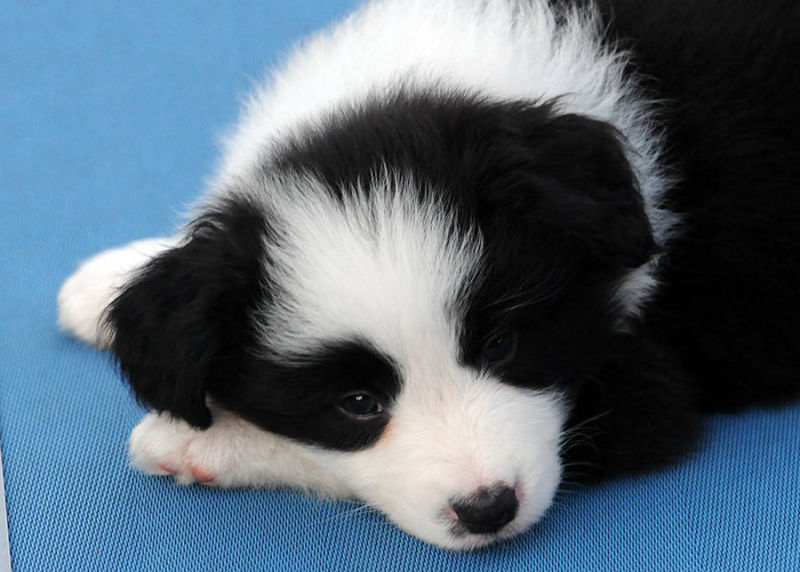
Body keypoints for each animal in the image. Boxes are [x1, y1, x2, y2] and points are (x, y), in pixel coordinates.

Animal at [57, 0, 800, 550]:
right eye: (358, 402)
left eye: (502, 347)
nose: (488, 510)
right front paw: (115, 282)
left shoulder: (644, 383)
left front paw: (198, 439)